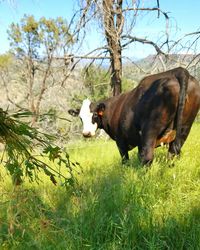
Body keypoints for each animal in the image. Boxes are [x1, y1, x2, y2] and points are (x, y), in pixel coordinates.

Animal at [69, 68, 200, 165]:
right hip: (184, 127)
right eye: (80, 117)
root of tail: (179, 71)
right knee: (173, 153)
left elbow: (125, 160)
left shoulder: (121, 140)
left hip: (150, 128)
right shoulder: (138, 141)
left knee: (147, 157)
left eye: (95, 114)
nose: (86, 133)